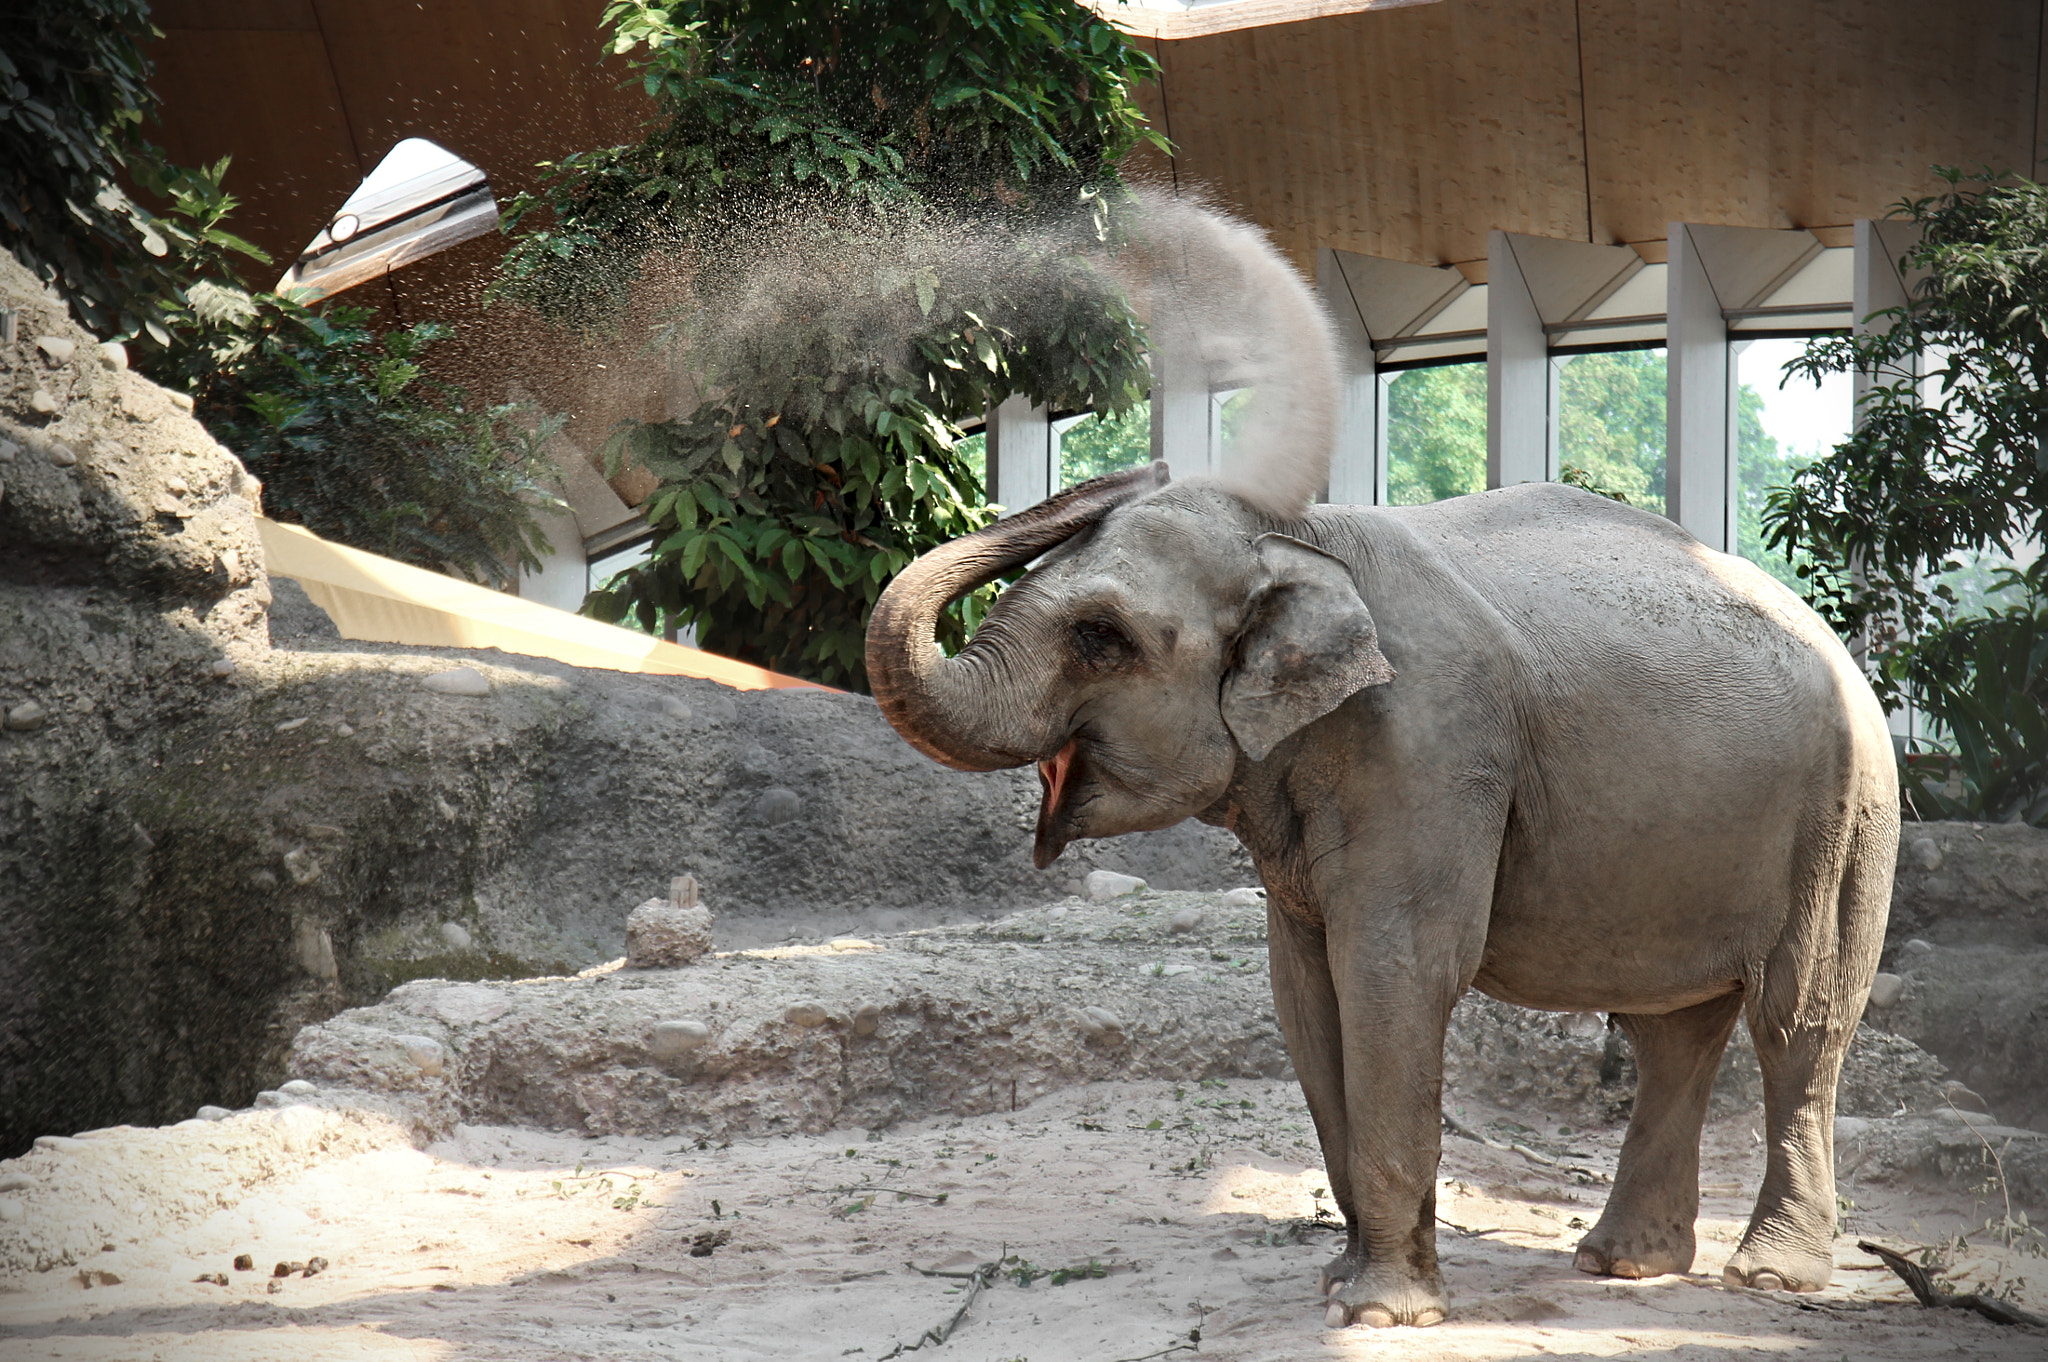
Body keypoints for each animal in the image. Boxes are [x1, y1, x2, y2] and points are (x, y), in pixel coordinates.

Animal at [865, 462, 1898, 1329]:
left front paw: (1382, 1314)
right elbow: (1306, 994)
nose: (1139, 464)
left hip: (1847, 818)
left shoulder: (1430, 750)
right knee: (1670, 1032)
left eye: (1099, 637)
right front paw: (1342, 1282)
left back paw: (1768, 1274)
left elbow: (1398, 974)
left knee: (1797, 1023)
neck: (1294, 536)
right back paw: (1622, 1265)